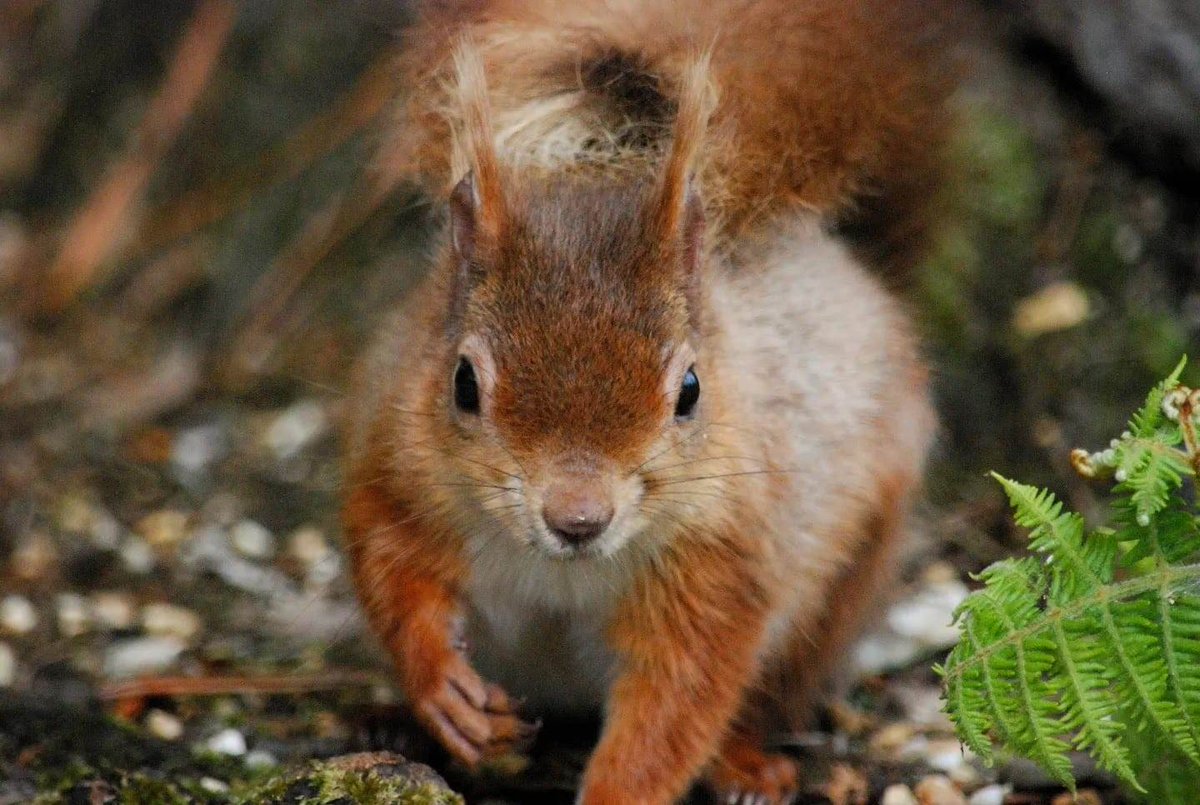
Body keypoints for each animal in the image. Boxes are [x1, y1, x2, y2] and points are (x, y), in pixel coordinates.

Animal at [345, 3, 945, 801]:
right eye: (463, 384)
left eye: (689, 391)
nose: (576, 519)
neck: (562, 569)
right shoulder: (396, 466)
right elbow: (391, 572)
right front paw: (439, 687)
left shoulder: (721, 566)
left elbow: (674, 706)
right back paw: (392, 724)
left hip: (842, 585)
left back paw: (747, 766)